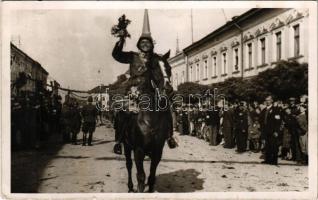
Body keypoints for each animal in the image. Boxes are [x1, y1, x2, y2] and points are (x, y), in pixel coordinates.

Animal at [121, 51, 173, 192]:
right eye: (155, 68)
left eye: (169, 68)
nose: (168, 89)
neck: (150, 119)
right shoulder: (138, 151)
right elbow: (141, 177)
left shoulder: (157, 151)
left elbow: (151, 177)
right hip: (127, 146)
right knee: (129, 165)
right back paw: (130, 187)